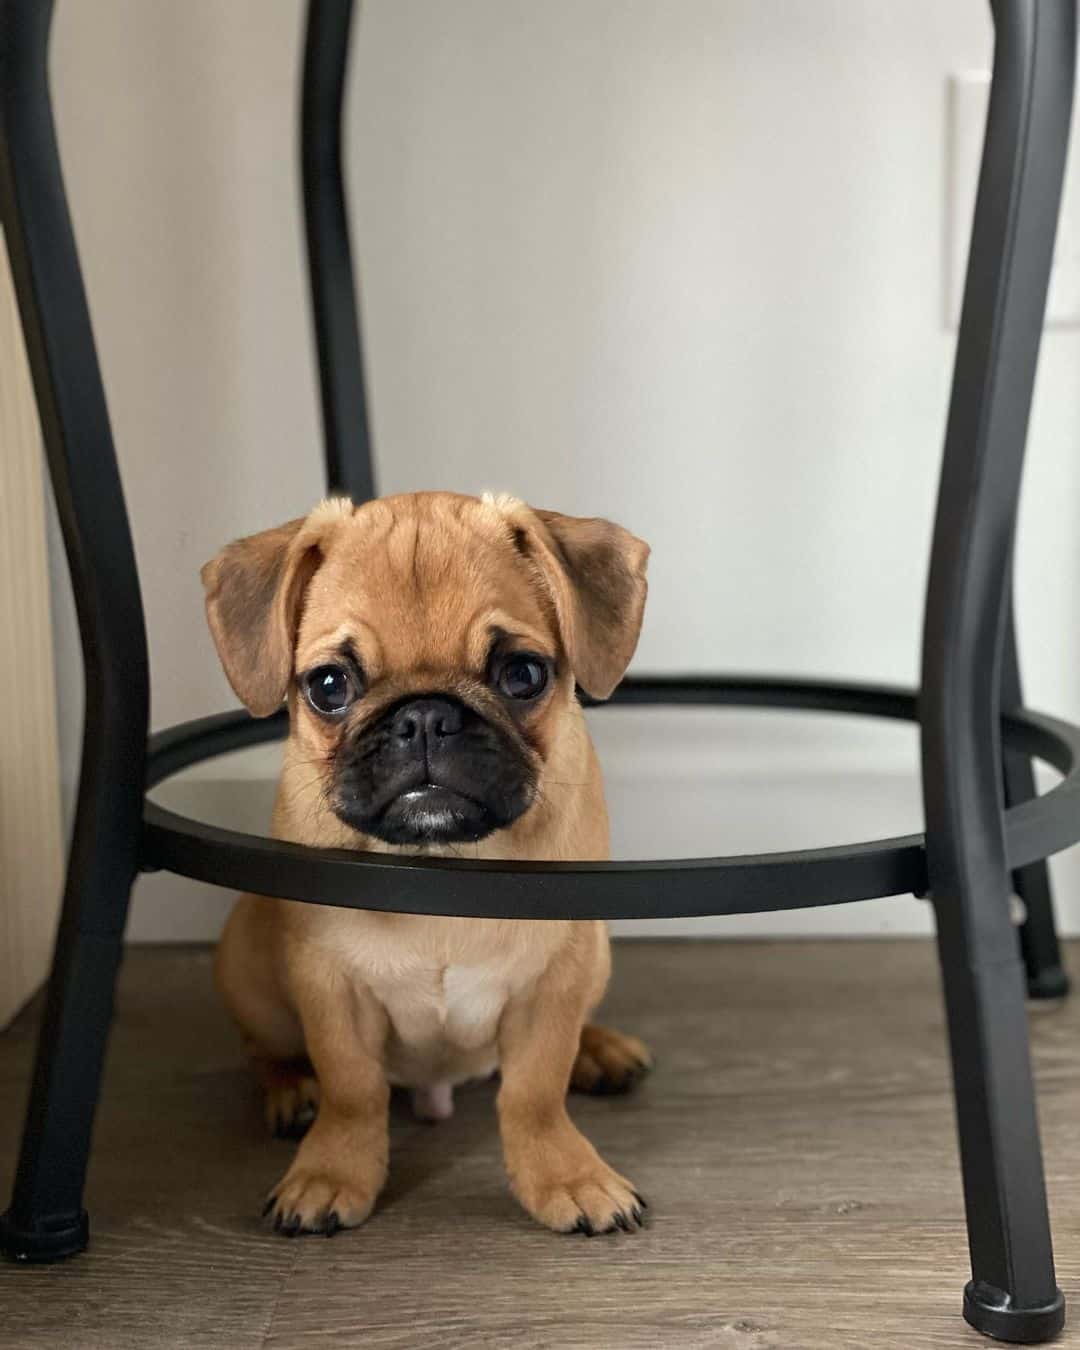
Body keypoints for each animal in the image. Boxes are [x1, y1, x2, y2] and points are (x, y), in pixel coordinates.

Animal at [206, 494, 653, 1236]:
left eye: (523, 674)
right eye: (328, 685)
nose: (423, 718)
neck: (443, 855)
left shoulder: (557, 974)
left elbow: (534, 1091)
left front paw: (568, 1176)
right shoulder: (329, 984)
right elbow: (352, 1089)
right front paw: (330, 1174)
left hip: (598, 956)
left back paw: (600, 1050)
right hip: (249, 965)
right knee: (263, 1050)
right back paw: (290, 1089)